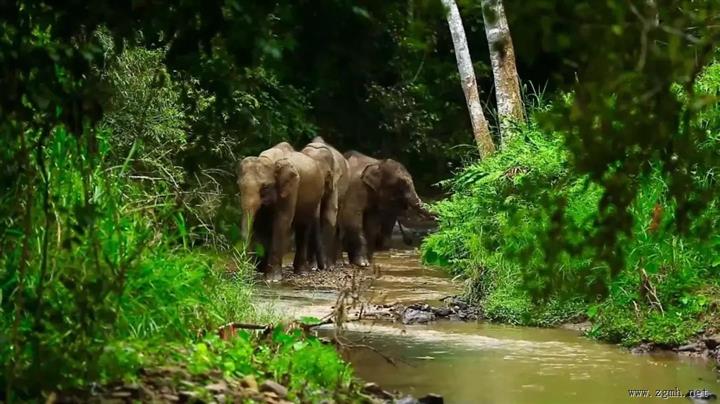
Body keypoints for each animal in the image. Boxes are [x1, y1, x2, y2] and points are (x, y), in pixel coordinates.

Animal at [236, 142, 326, 280]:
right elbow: (261, 224)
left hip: (313, 200)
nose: (246, 272)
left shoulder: (292, 187)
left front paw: (272, 278)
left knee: (302, 228)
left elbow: (281, 221)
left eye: (265, 187)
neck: (268, 159)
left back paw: (301, 272)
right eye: (239, 185)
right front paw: (261, 270)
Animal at [300, 136, 352, 268]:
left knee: (339, 221)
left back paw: (337, 263)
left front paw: (329, 267)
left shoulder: (335, 183)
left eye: (328, 175)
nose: (321, 266)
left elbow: (330, 213)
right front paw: (313, 266)